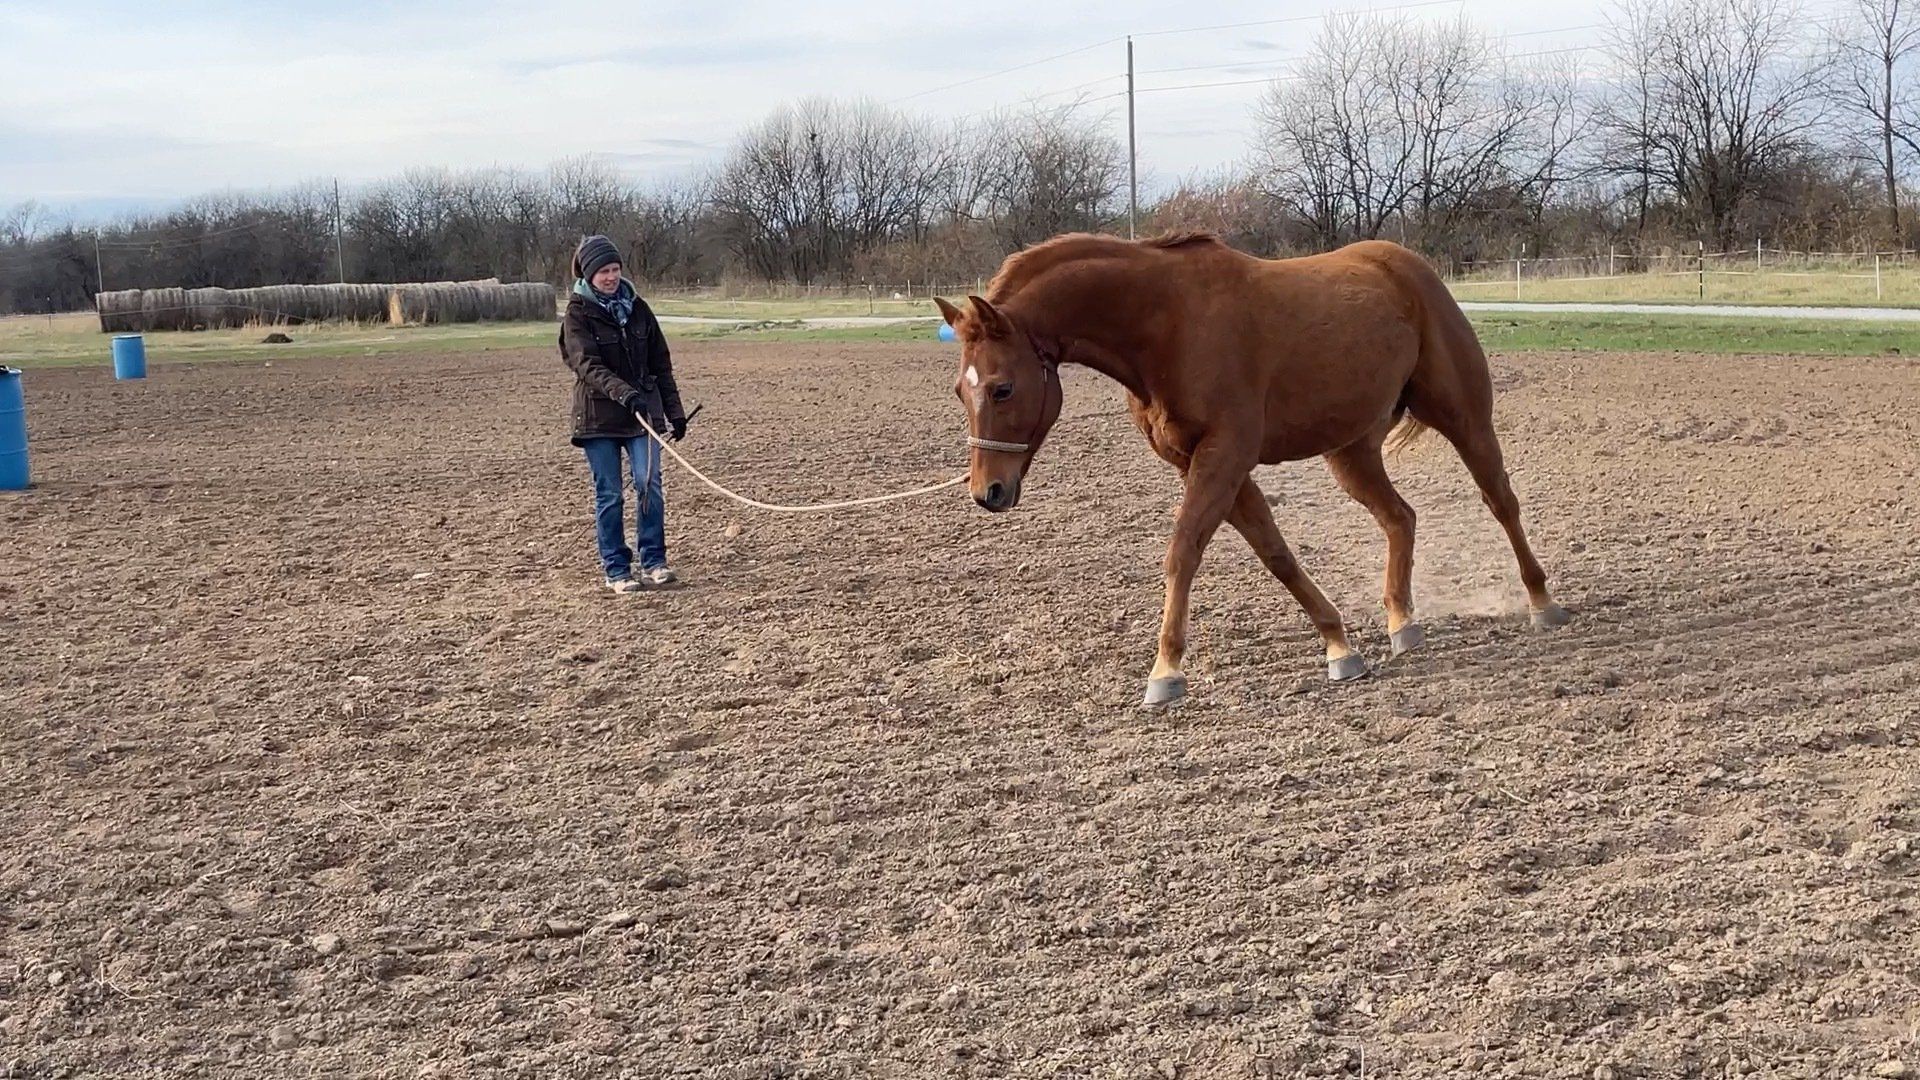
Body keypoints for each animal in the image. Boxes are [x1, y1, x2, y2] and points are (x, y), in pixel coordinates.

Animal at [933, 230, 1571, 708]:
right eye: (960, 391)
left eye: (1001, 388)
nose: (987, 491)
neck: (1166, 322)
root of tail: (1410, 268)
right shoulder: (1208, 465)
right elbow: (1275, 553)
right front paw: (1339, 645)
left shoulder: (1225, 456)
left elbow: (1183, 550)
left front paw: (1165, 672)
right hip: (1351, 452)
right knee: (1400, 518)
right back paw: (1401, 623)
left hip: (1463, 418)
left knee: (1500, 501)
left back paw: (1541, 604)